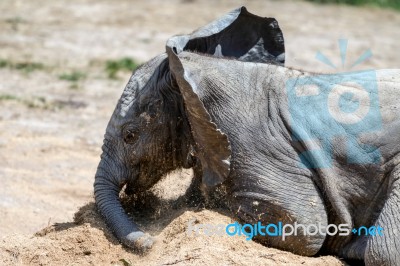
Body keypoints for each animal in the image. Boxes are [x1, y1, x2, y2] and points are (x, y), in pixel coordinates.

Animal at [94, 6, 400, 266]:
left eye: (130, 135)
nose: (149, 243)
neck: (190, 71)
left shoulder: (247, 141)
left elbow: (302, 226)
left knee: (381, 252)